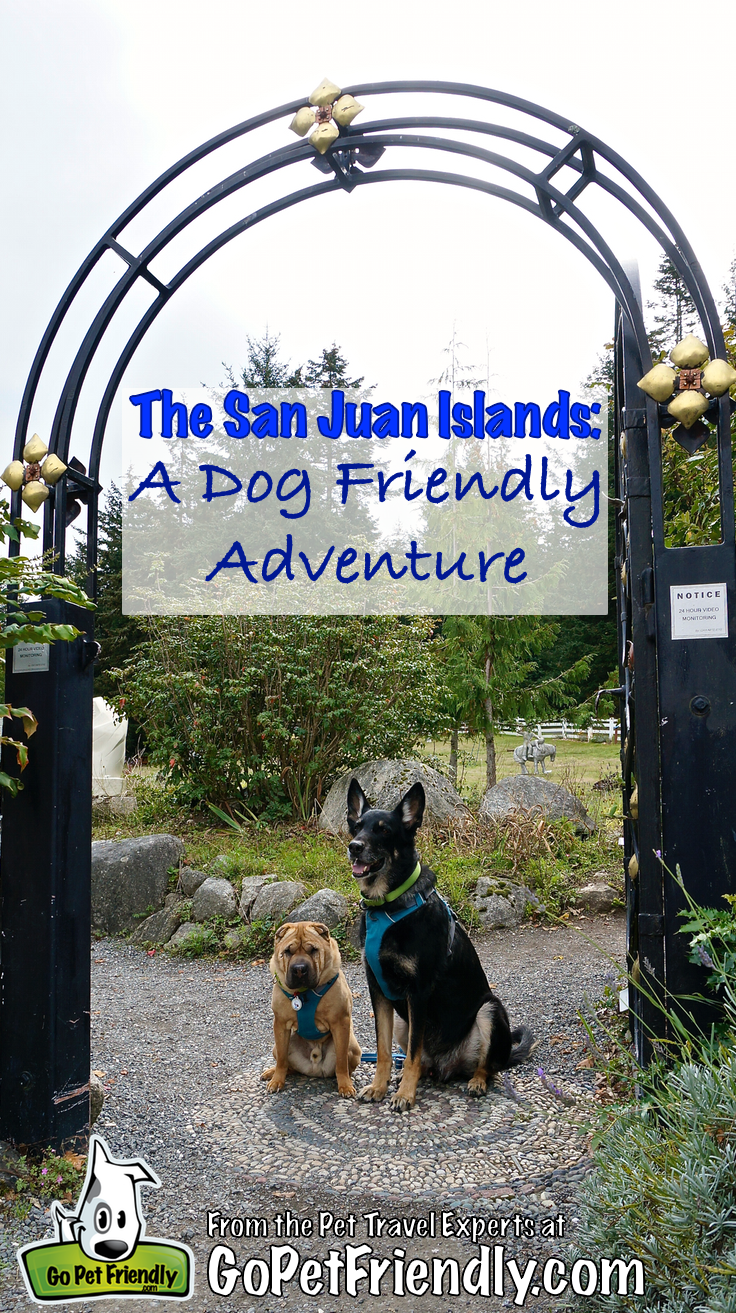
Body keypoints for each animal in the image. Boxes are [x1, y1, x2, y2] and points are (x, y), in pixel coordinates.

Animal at [346, 772, 530, 1113]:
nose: (354, 847)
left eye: (384, 830)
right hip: (404, 1023)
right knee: (419, 1059)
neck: (388, 905)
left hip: (490, 1009)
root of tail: (448, 1065)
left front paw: (405, 1095)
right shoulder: (378, 991)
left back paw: (476, 1081)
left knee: (489, 1066)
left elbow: (412, 1053)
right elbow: (383, 1050)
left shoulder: (418, 992)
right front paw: (380, 1087)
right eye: (357, 826)